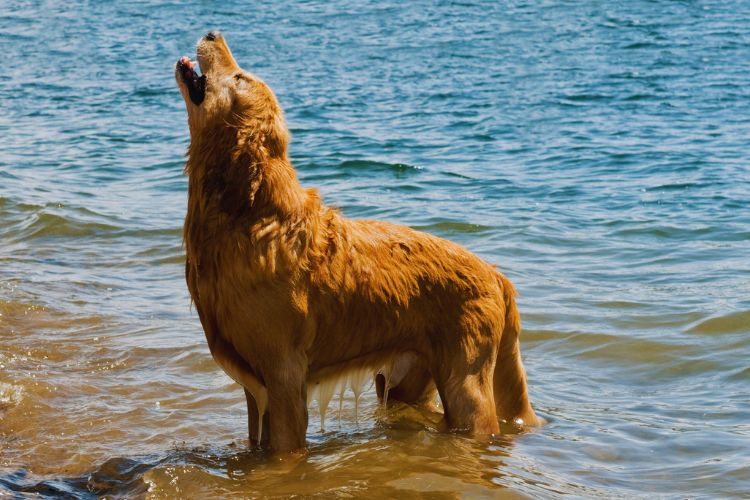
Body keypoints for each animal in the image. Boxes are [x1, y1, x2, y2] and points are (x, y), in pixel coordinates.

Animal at [176, 31, 540, 454]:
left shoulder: (284, 379)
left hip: (466, 385)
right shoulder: (256, 389)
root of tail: (495, 273)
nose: (213, 33)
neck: (252, 216)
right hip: (408, 379)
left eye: (240, 77)